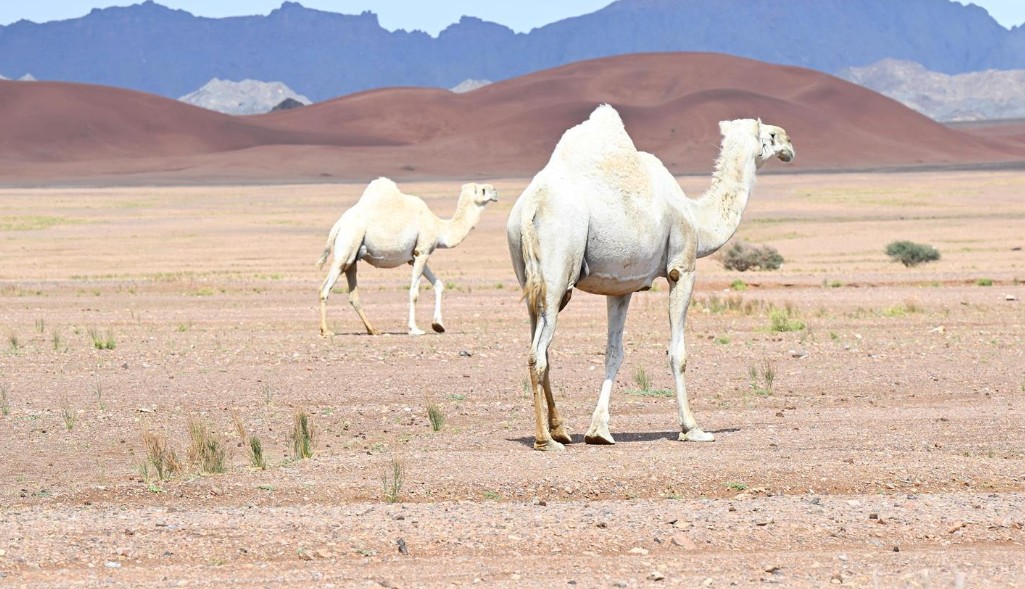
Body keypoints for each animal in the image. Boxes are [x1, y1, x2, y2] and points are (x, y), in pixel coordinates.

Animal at [318, 178, 498, 336]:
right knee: (325, 288)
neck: (439, 227)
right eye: (484, 189)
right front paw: (415, 329)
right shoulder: (423, 251)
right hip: (347, 246)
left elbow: (439, 285)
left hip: (353, 257)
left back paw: (373, 330)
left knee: (353, 295)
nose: (496, 192)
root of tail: (338, 225)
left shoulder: (415, 256)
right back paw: (325, 331)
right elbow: (414, 293)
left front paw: (438, 325)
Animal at [507, 105, 794, 451]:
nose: (790, 144)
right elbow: (677, 353)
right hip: (558, 269)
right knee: (537, 354)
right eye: (772, 135)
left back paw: (560, 429)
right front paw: (692, 428)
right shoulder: (682, 268)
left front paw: (599, 431)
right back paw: (545, 440)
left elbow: (614, 352)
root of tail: (530, 206)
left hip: (528, 278)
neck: (696, 218)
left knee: (540, 348)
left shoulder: (621, 287)